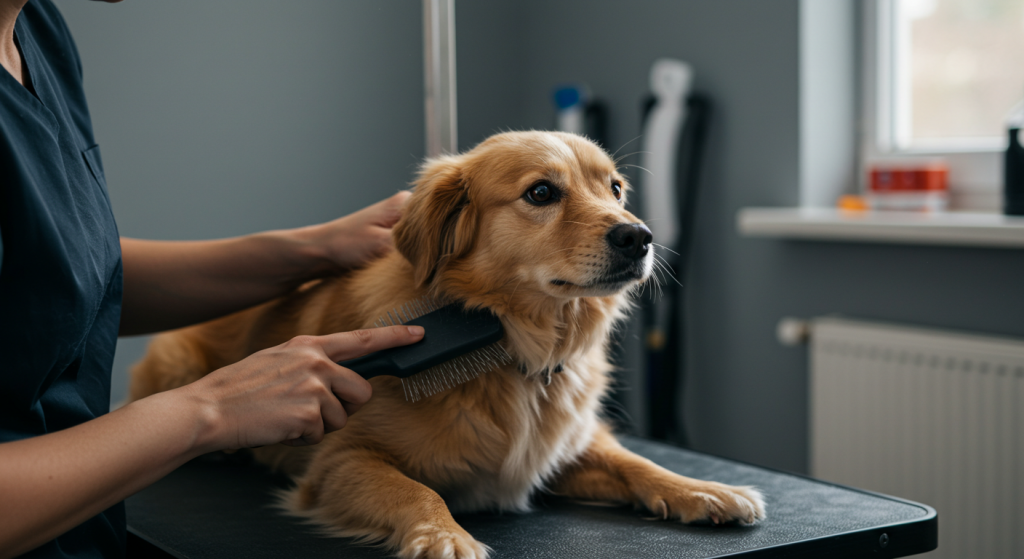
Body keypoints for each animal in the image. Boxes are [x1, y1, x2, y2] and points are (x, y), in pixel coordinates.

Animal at [130, 130, 761, 556]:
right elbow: (414, 491)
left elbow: (636, 463)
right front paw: (443, 535)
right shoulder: (338, 461)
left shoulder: (566, 449)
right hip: (177, 362)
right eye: (541, 192)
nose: (640, 236)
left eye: (615, 189)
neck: (512, 351)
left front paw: (703, 489)